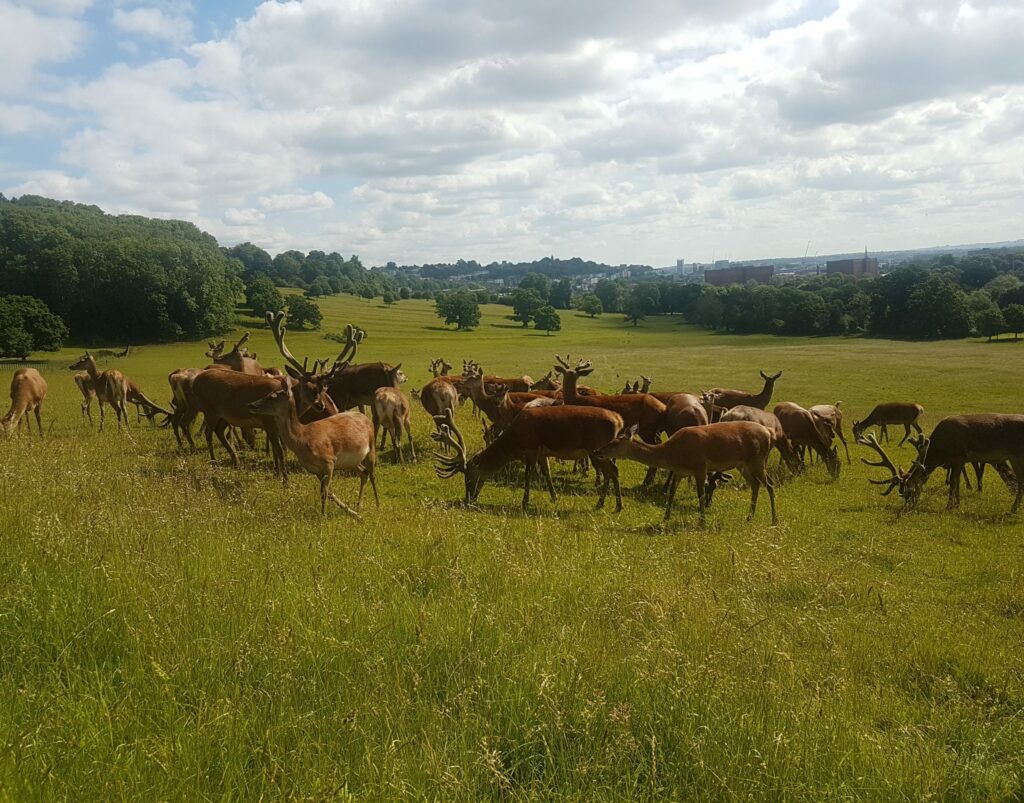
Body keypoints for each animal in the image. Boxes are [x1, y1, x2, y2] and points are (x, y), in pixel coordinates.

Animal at [248, 378, 379, 520]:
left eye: (271, 397)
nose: (251, 404)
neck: (302, 439)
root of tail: (366, 418)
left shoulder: (329, 460)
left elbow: (325, 492)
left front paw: (324, 515)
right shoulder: (314, 469)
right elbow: (329, 493)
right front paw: (353, 514)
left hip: (371, 447)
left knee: (372, 474)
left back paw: (378, 504)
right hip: (352, 461)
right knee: (363, 473)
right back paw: (358, 506)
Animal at [432, 406, 624, 511]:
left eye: (469, 477)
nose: (468, 499)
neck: (514, 443)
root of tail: (619, 420)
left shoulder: (531, 449)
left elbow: (527, 475)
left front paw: (524, 502)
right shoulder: (542, 453)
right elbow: (547, 473)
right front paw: (554, 497)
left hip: (597, 448)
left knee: (613, 471)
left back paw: (615, 505)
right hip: (600, 451)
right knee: (609, 472)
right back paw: (604, 504)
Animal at [598, 421, 778, 525]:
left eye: (615, 443)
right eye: (611, 439)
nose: (598, 451)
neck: (672, 453)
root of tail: (769, 433)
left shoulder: (700, 466)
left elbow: (700, 494)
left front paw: (702, 521)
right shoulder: (679, 471)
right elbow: (671, 493)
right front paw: (665, 517)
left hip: (758, 459)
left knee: (769, 484)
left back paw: (774, 519)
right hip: (743, 464)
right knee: (756, 484)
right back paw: (750, 517)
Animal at [858, 414, 1024, 513]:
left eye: (910, 490)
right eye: (901, 492)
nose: (908, 507)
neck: (940, 450)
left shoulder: (959, 457)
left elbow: (953, 482)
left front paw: (949, 506)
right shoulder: (956, 461)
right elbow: (956, 483)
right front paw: (956, 504)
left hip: (1017, 455)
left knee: (1020, 481)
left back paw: (1013, 509)